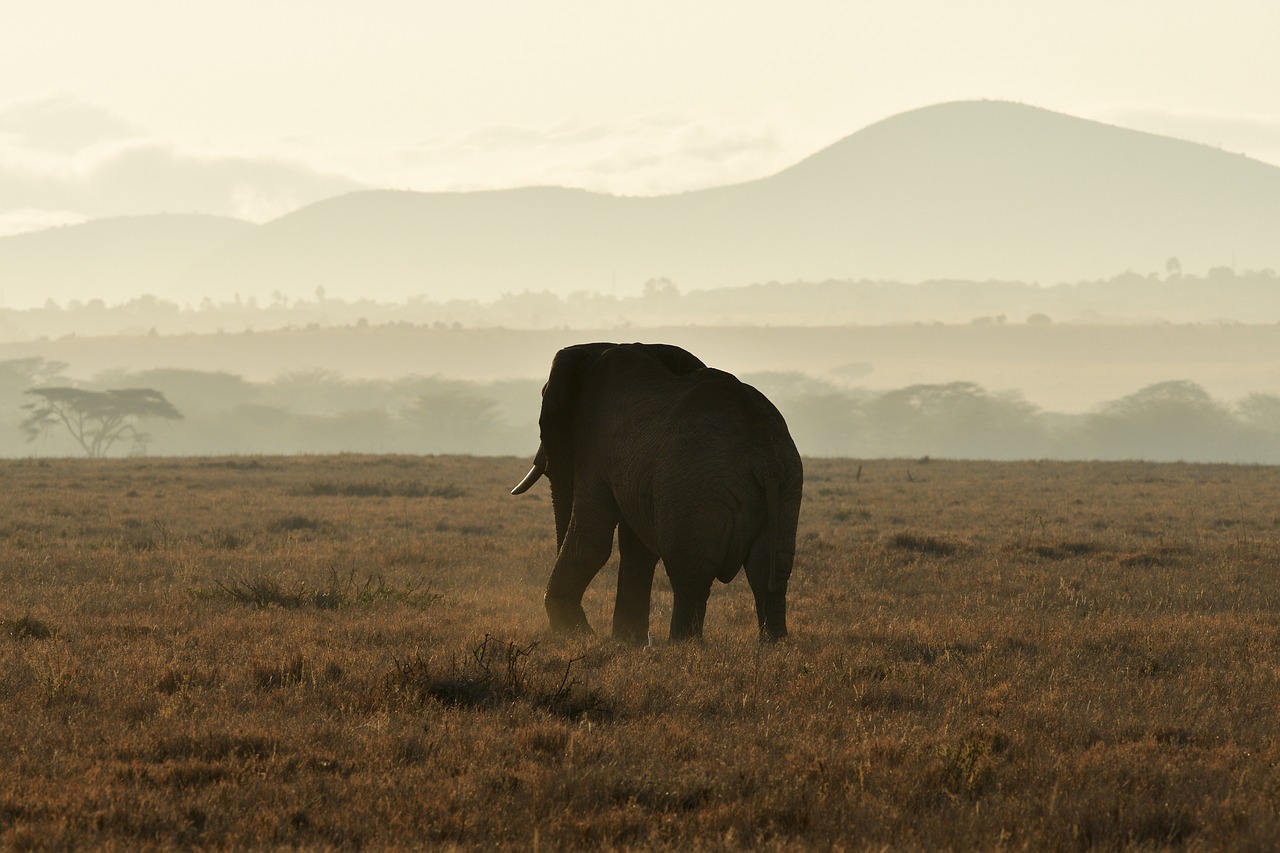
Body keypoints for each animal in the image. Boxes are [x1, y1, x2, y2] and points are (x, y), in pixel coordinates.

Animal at [509, 343, 798, 640]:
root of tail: (765, 458)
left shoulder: (596, 449)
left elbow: (591, 539)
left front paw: (577, 633)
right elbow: (637, 547)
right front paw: (625, 642)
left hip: (694, 485)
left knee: (690, 570)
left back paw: (683, 645)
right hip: (787, 483)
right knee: (769, 568)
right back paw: (774, 644)